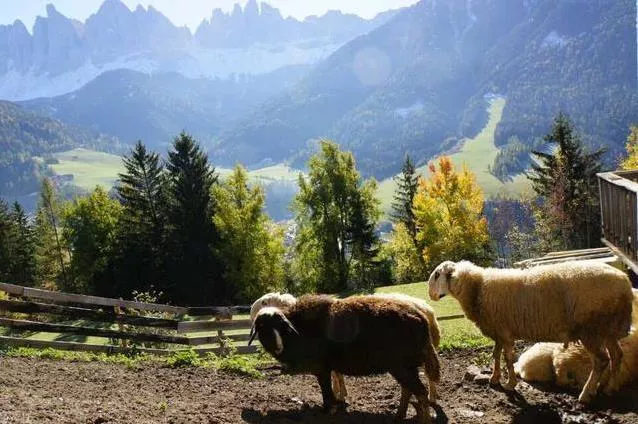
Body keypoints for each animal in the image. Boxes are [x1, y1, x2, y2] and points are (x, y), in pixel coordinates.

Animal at [249, 294, 440, 424]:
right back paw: (399, 416)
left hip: (401, 366)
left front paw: (328, 410)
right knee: (408, 390)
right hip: (404, 366)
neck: (297, 332)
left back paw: (422, 420)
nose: (278, 347)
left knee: (420, 392)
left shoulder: (321, 369)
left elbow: (326, 390)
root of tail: (421, 317)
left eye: (281, 326)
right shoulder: (328, 368)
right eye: (261, 326)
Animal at [430, 260, 636, 402]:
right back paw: (610, 388)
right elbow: (495, 355)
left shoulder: (505, 332)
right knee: (617, 355)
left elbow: (507, 358)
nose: (430, 295)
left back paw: (586, 394)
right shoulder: (498, 331)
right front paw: (494, 378)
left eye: (438, 274)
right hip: (607, 329)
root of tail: (625, 283)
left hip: (590, 329)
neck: (477, 288)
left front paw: (510, 384)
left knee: (601, 360)